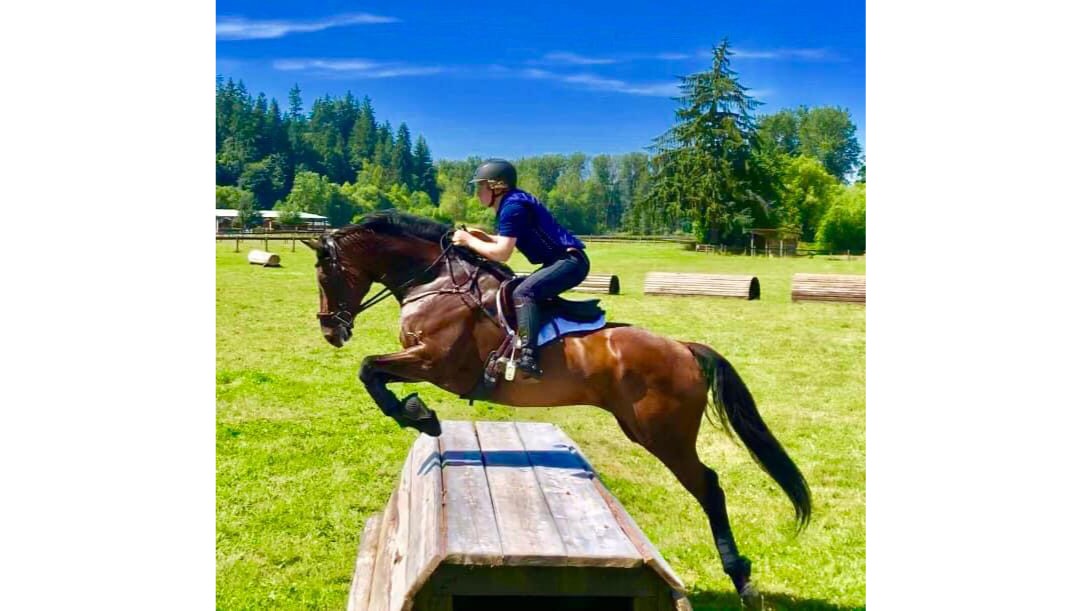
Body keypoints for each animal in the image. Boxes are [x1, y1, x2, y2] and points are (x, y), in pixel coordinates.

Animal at [302, 210, 811, 608]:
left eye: (326, 275)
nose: (330, 330)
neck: (437, 282)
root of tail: (684, 348)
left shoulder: (432, 362)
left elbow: (370, 371)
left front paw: (419, 416)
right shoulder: (424, 362)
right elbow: (372, 372)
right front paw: (418, 416)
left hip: (663, 435)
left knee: (709, 487)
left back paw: (741, 578)